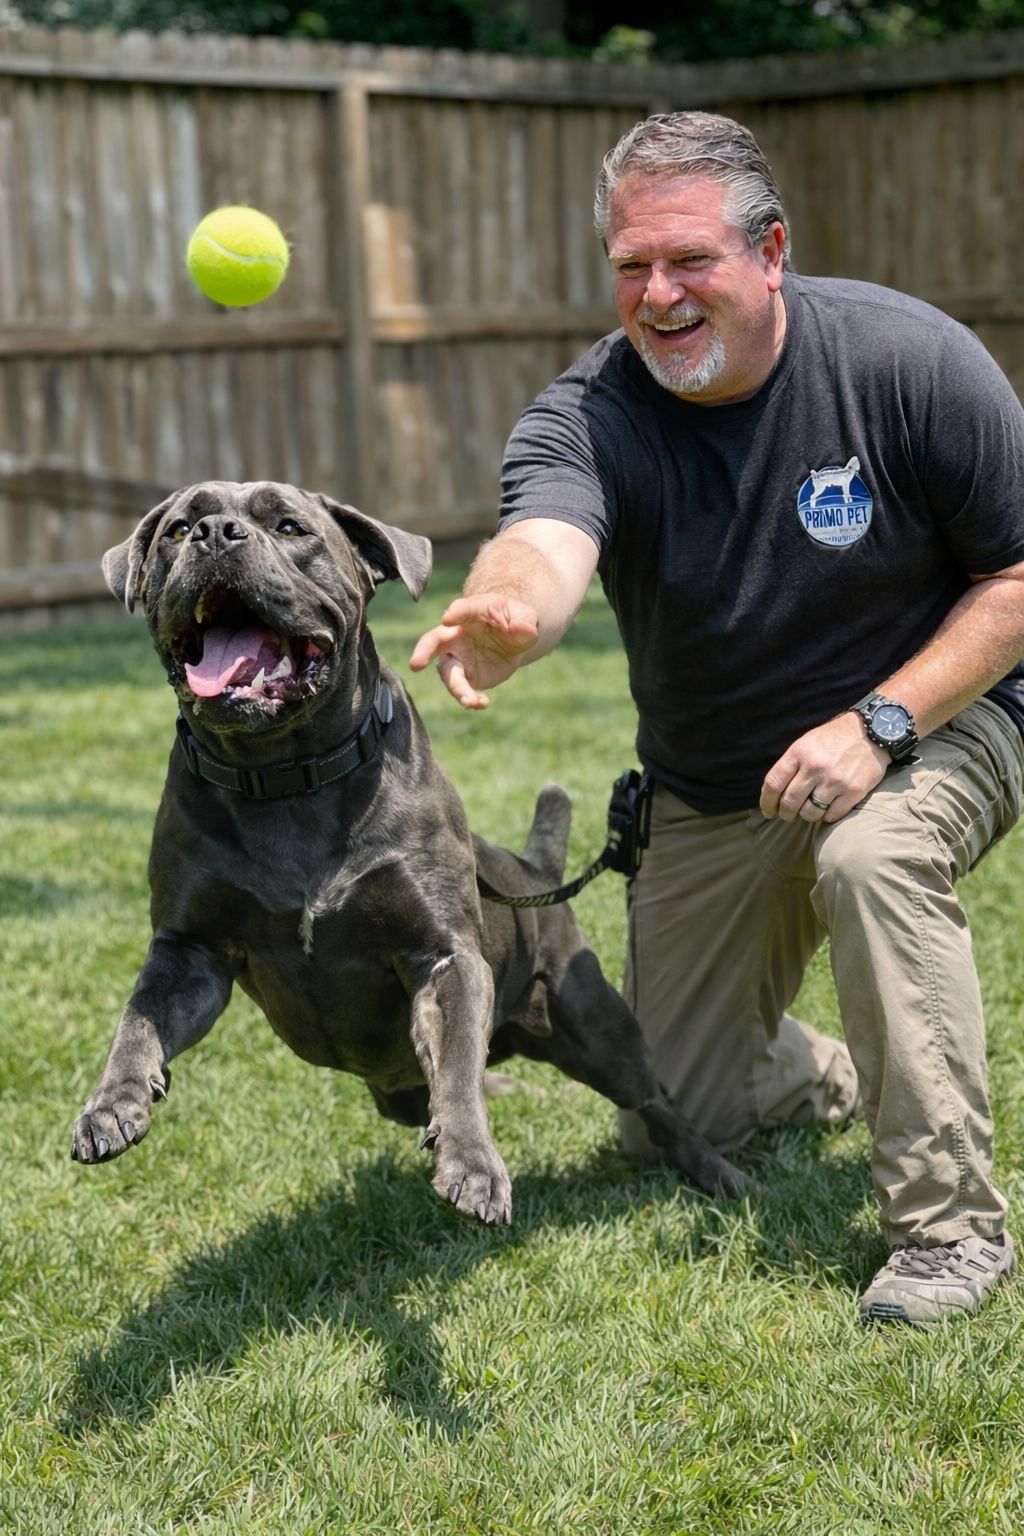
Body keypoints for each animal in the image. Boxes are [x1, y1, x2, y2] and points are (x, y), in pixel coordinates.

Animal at [71, 481, 748, 1222]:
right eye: (176, 529)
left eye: (290, 527)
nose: (215, 534)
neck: (283, 774)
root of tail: (534, 871)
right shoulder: (189, 951)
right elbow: (137, 1024)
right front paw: (112, 1105)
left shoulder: (442, 954)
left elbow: (455, 1063)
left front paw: (472, 1162)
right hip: (402, 1089)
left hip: (597, 1028)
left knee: (651, 1097)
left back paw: (719, 1171)